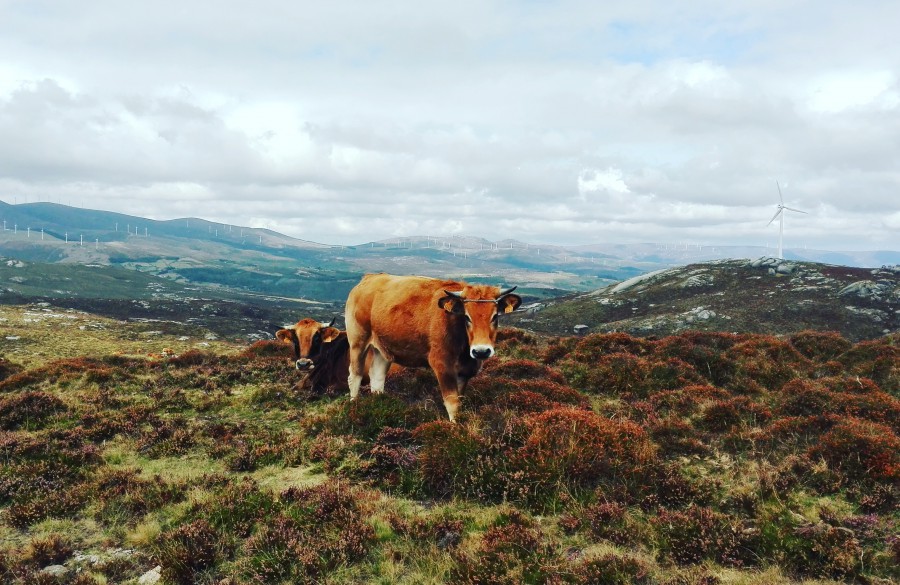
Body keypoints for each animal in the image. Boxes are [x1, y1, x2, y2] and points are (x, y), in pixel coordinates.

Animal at [344, 274, 520, 420]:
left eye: (495, 316)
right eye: (467, 317)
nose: (481, 351)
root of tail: (369, 278)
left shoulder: (464, 372)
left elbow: (460, 401)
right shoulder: (442, 364)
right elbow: (452, 403)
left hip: (383, 348)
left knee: (377, 375)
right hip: (358, 341)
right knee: (355, 375)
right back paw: (354, 406)